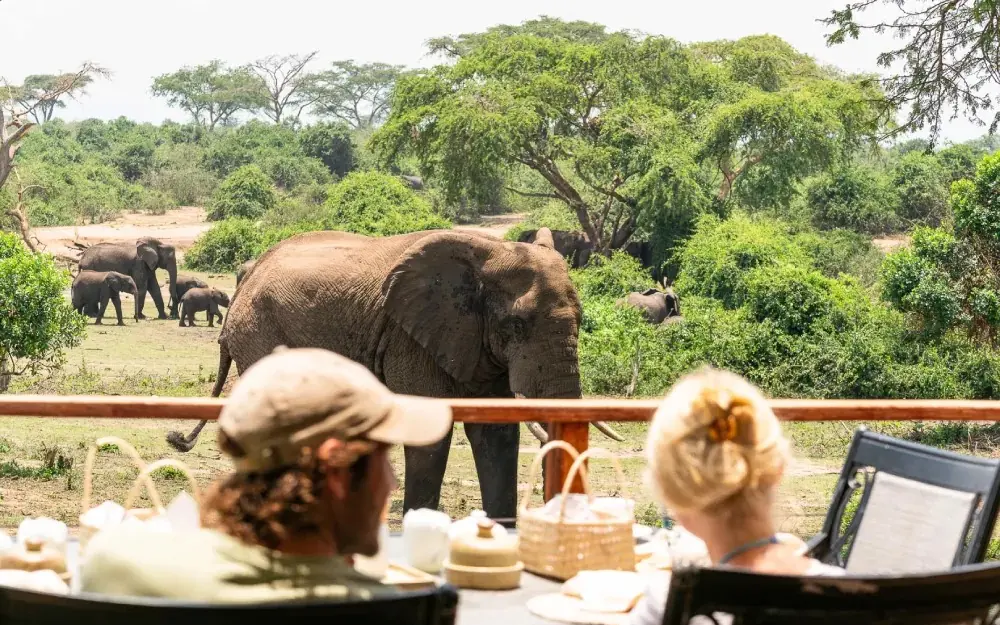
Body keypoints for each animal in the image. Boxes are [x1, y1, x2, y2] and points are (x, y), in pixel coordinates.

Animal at [165, 227, 623, 523]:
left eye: (583, 319)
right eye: (516, 325)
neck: (489, 252)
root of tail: (250, 273)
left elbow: (495, 433)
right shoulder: (412, 338)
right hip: (259, 333)